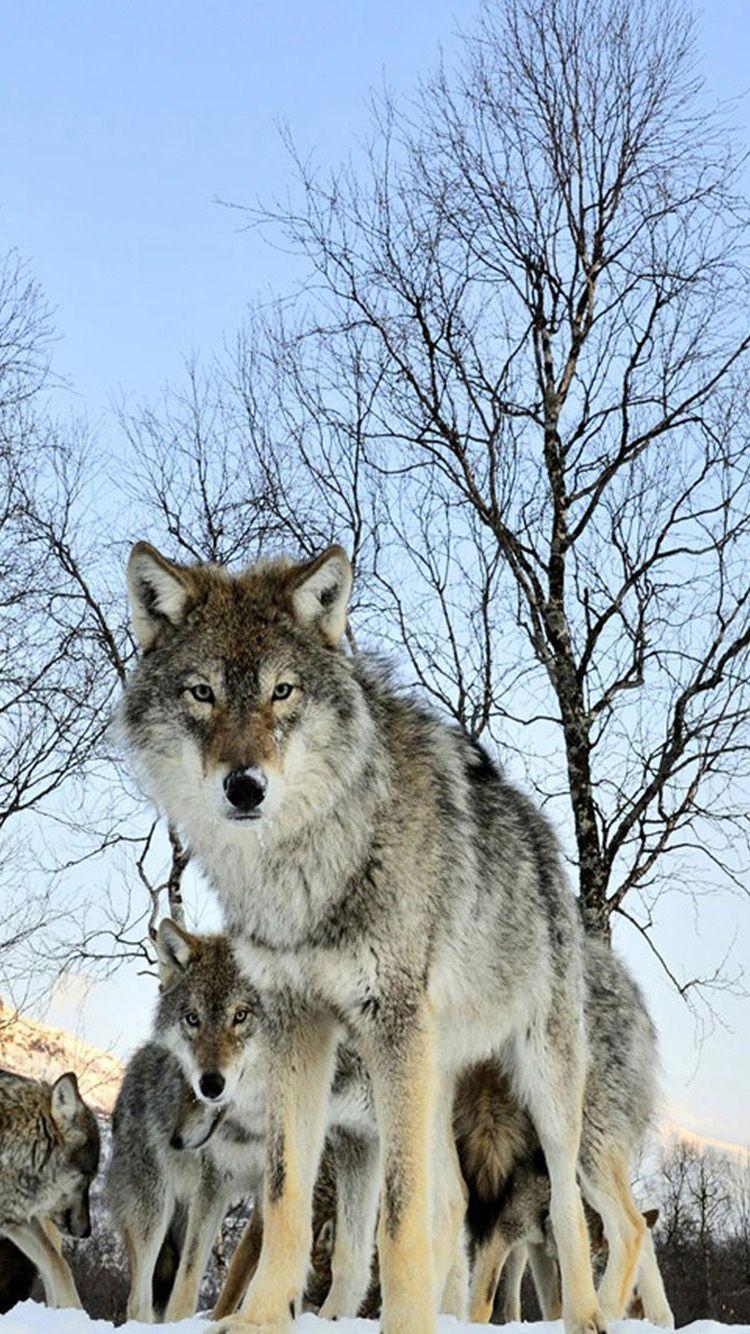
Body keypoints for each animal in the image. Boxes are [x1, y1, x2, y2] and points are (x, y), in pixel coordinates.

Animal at [122, 540, 630, 1334]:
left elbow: (396, 1214)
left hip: (540, 1085)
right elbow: (288, 1197)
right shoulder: (298, 1025)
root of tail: (541, 834)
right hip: (434, 1078)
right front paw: (258, 1318)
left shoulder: (388, 1024)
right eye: (202, 693)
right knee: (454, 1200)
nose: (245, 787)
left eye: (283, 691)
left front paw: (404, 1324)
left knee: (572, 1211)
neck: (307, 869)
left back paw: (583, 1317)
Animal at [455, 937, 673, 1327]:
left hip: (589, 1153)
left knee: (633, 1228)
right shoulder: (526, 1240)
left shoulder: (501, 1226)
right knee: (641, 1235)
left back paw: (609, 1312)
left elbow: (481, 1299)